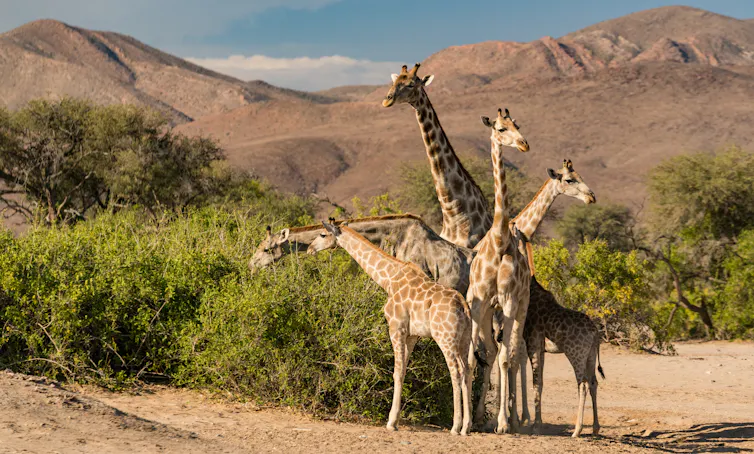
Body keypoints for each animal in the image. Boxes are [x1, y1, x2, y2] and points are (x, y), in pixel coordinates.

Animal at [320, 221, 473, 435]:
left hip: (445, 337)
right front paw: (396, 419)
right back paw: (467, 426)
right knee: (467, 371)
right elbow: (403, 371)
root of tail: (463, 305)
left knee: (456, 372)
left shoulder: (396, 327)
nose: (310, 248)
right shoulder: (412, 335)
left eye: (322, 234)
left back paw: (456, 426)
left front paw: (391, 422)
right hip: (465, 338)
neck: (389, 279)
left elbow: (396, 371)